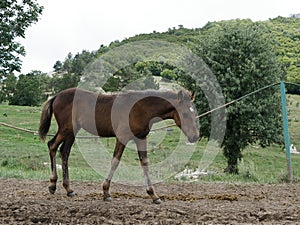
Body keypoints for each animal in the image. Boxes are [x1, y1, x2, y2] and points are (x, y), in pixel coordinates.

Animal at [39, 87, 199, 203]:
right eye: (185, 114)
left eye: (194, 113)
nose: (195, 136)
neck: (140, 108)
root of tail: (56, 96)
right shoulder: (122, 137)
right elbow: (115, 161)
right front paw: (106, 192)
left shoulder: (141, 138)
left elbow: (145, 162)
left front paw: (153, 195)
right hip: (66, 129)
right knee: (52, 145)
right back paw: (52, 185)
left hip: (72, 131)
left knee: (64, 151)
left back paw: (68, 189)